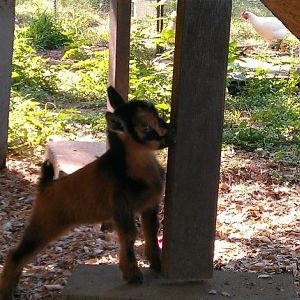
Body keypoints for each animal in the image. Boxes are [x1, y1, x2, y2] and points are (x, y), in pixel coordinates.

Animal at [0, 85, 176, 298]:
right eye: (147, 129)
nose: (171, 131)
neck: (129, 167)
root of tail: (46, 186)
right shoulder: (121, 209)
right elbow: (129, 236)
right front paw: (132, 274)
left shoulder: (150, 206)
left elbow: (151, 232)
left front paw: (157, 264)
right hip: (46, 222)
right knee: (15, 254)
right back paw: (6, 292)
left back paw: (14, 288)